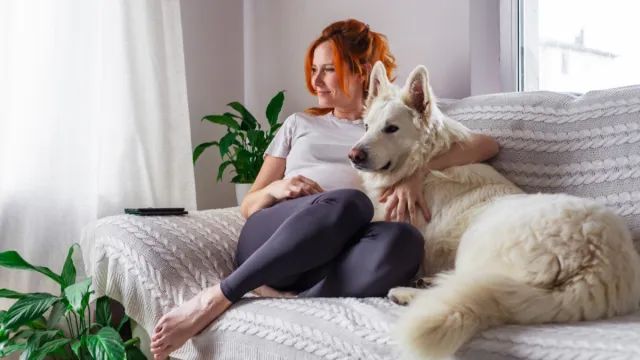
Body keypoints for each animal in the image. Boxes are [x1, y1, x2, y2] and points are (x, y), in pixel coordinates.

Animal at [350, 60, 640, 358]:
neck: (425, 161)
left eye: (391, 128)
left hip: (476, 239)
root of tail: (595, 263)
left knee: (461, 288)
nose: (354, 156)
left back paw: (408, 293)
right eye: (367, 127)